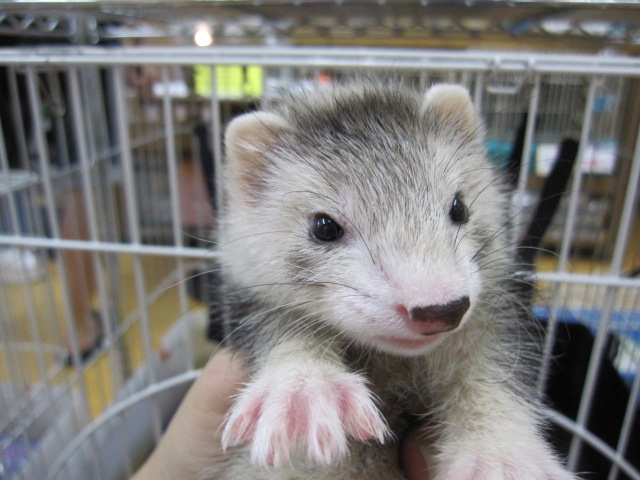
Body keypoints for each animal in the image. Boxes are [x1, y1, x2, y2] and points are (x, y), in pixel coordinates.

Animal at [208, 80, 577, 480]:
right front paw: (302, 390)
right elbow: (280, 327)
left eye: (459, 206)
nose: (440, 306)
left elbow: (494, 360)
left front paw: (501, 457)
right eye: (323, 226)